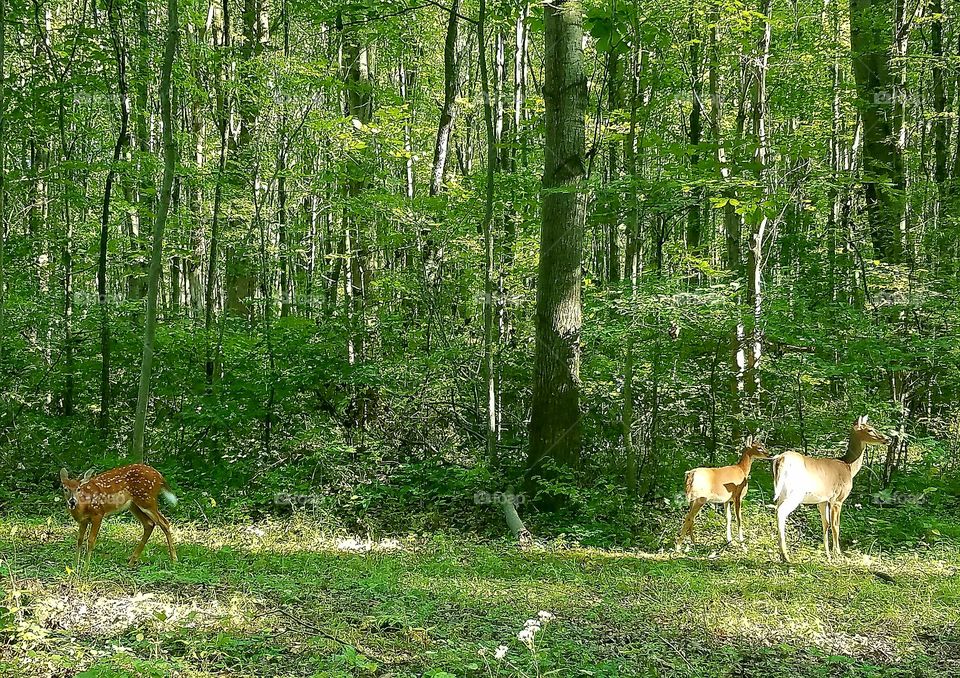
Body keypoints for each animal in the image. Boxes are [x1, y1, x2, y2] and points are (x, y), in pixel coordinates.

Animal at [771, 415, 889, 563]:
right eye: (870, 429)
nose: (887, 439)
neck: (849, 467)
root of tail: (780, 459)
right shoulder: (838, 498)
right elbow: (835, 525)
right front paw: (838, 553)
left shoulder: (822, 500)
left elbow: (825, 523)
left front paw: (827, 554)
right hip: (795, 492)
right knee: (781, 512)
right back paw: (785, 555)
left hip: (782, 492)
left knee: (776, 510)